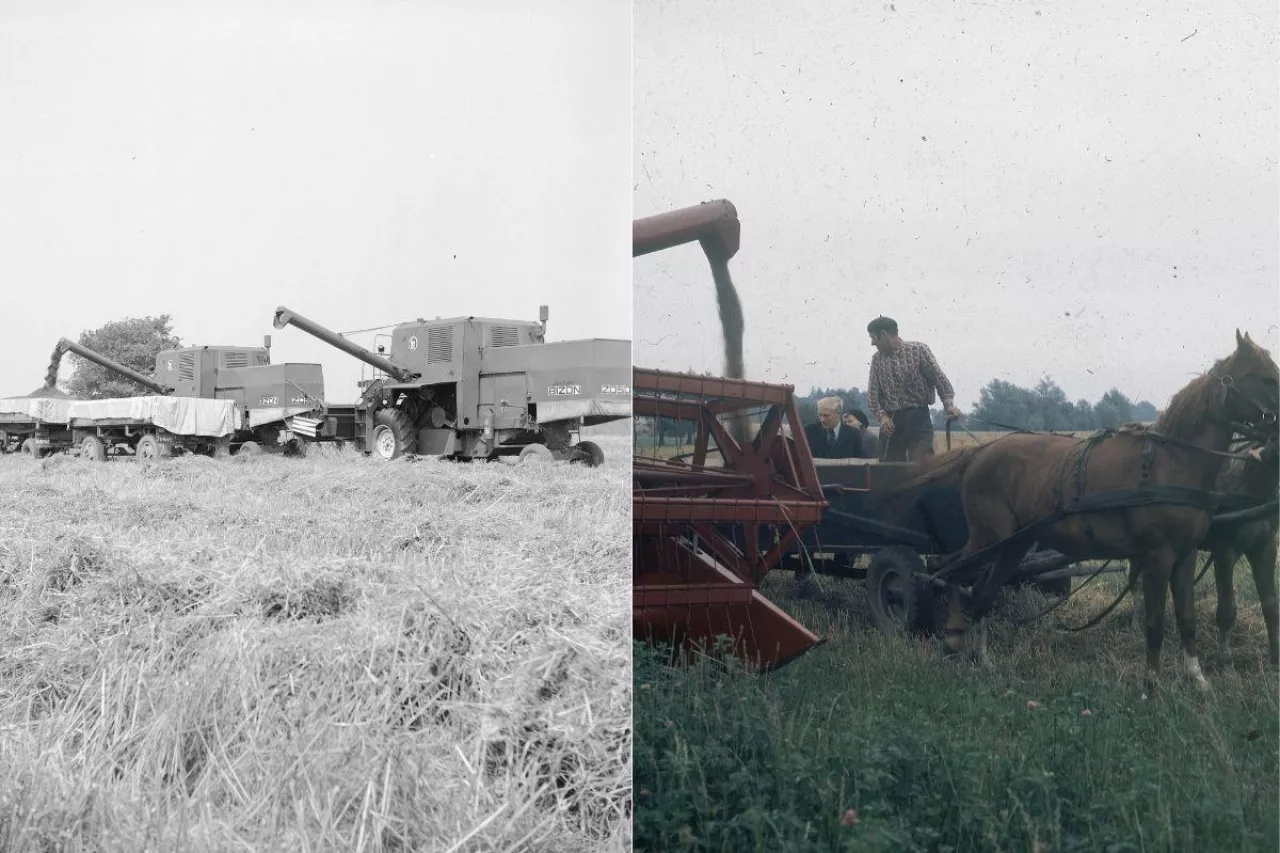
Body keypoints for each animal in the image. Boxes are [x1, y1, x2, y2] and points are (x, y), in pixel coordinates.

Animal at [916, 333, 1274, 691]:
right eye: (1264, 377)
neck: (1173, 461)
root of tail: (978, 453)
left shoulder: (1185, 555)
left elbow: (1187, 617)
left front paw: (1197, 678)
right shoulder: (1158, 555)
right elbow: (1155, 622)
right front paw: (1151, 684)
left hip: (1014, 544)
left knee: (980, 591)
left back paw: (983, 658)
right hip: (990, 537)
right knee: (950, 570)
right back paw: (953, 640)